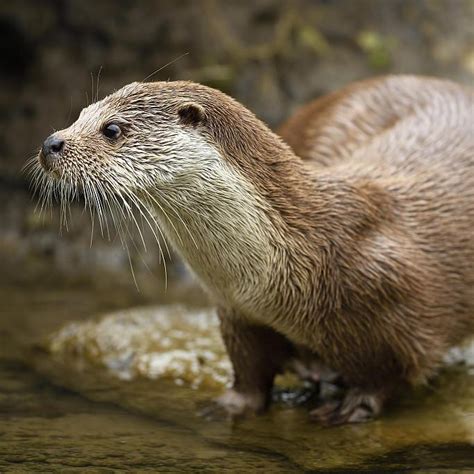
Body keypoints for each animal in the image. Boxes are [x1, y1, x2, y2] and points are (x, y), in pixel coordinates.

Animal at [33, 76, 474, 424]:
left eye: (112, 128)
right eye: (81, 114)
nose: (51, 142)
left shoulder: (395, 306)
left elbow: (387, 374)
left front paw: (353, 407)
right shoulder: (236, 311)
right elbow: (249, 368)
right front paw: (232, 405)